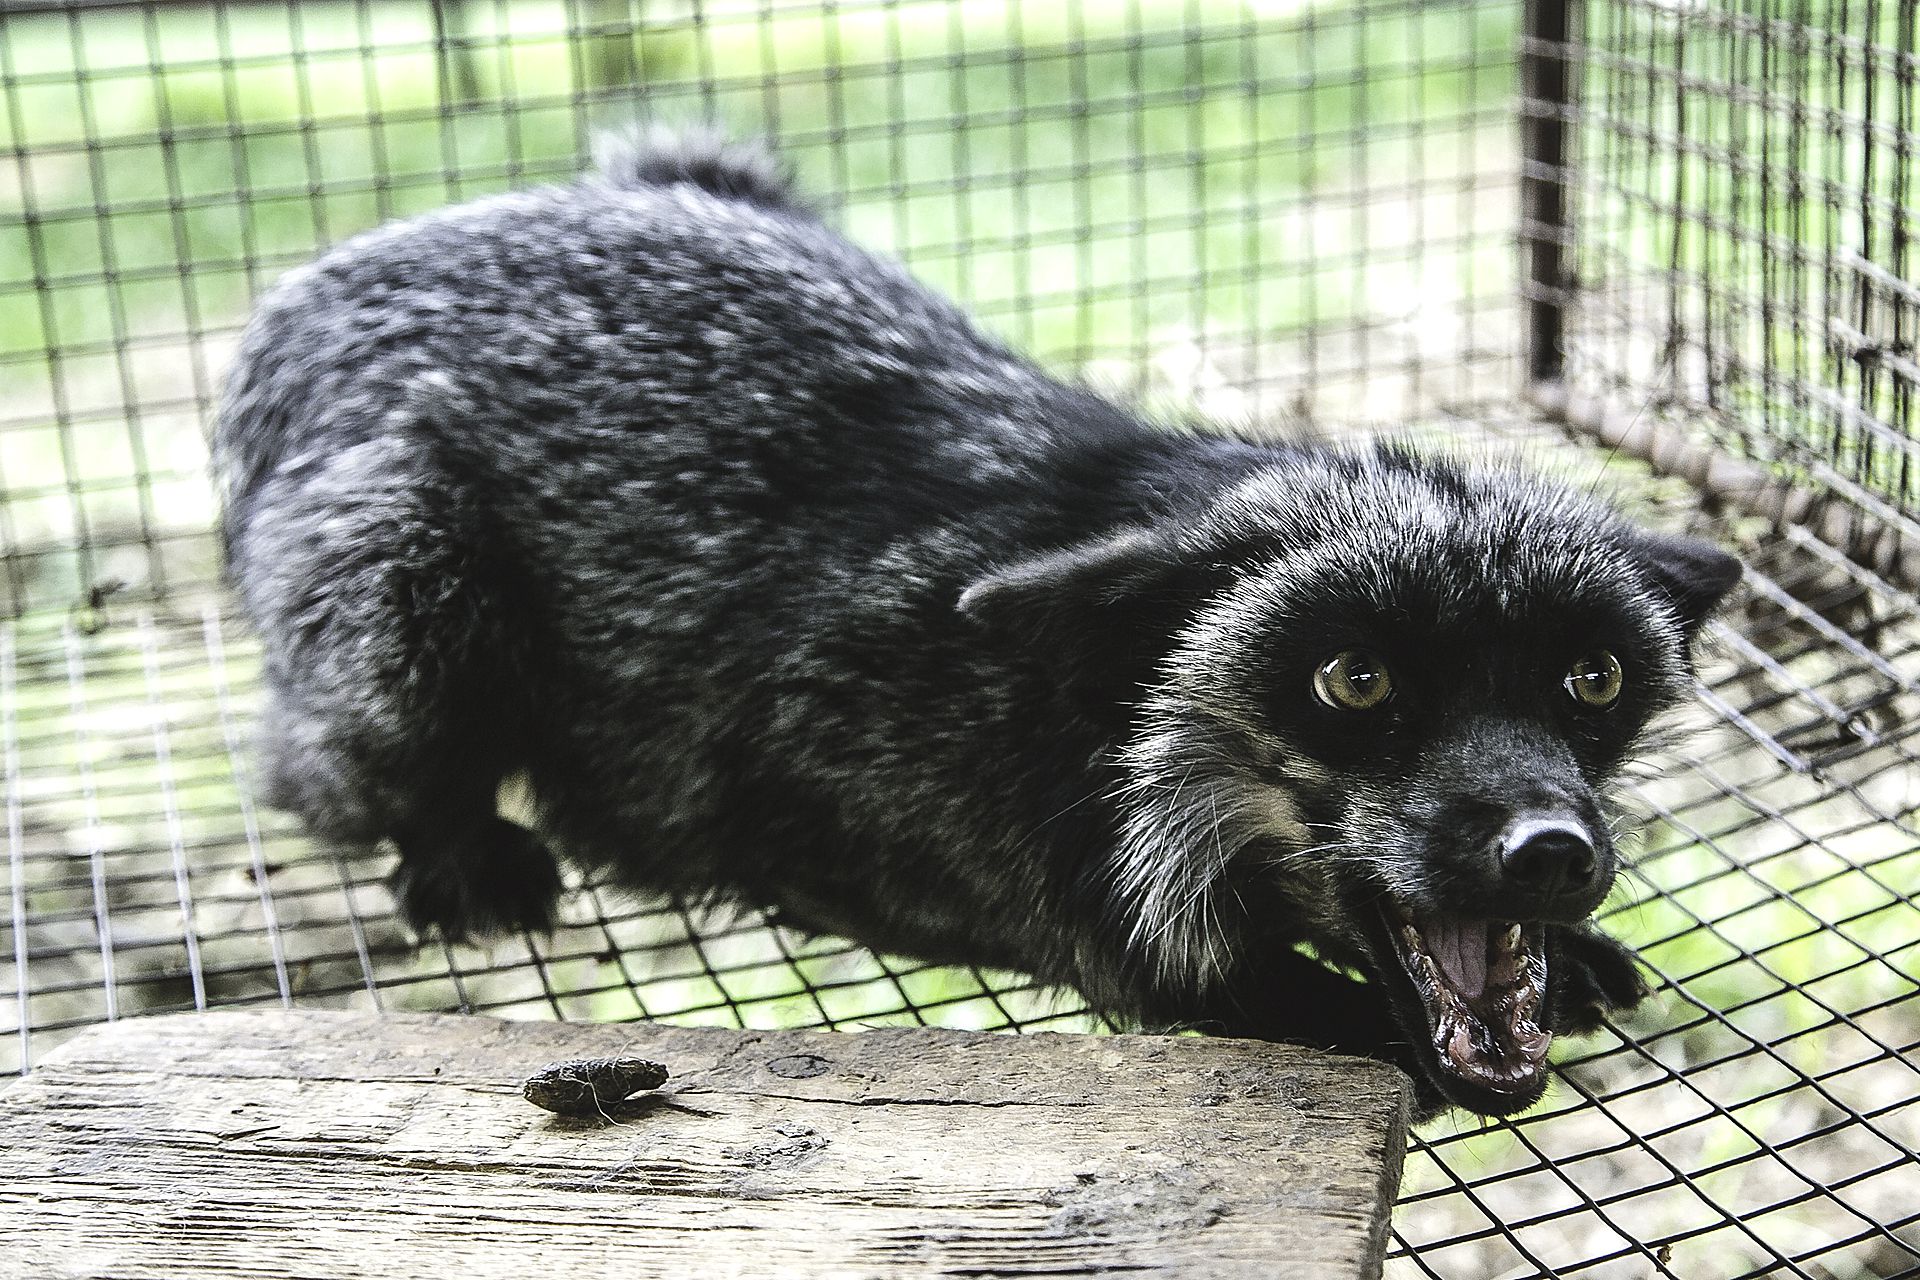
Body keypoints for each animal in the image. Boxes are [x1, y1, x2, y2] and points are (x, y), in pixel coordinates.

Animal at [214, 130, 1743, 1113]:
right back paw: (465, 857)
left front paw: (1577, 958)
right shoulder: (1098, 929)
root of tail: (323, 276)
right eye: (1354, 680)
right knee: (315, 769)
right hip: (404, 583)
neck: (1094, 719)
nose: (1550, 853)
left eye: (1592, 677)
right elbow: (1266, 993)